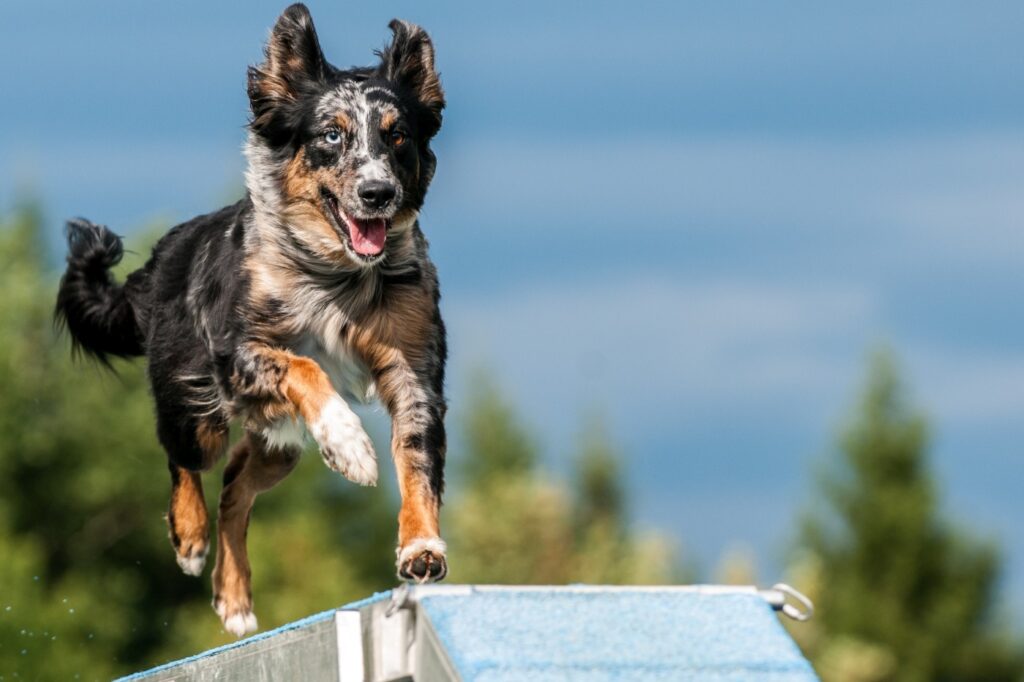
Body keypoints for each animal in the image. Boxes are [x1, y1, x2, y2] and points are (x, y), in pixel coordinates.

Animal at [54, 2, 448, 634]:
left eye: (398, 136)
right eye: (331, 135)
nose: (378, 193)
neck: (336, 276)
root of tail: (163, 257)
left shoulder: (414, 367)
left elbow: (417, 457)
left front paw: (421, 546)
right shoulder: (238, 352)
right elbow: (305, 367)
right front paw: (350, 445)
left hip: (278, 443)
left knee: (235, 485)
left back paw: (234, 599)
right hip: (197, 410)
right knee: (187, 459)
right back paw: (190, 540)